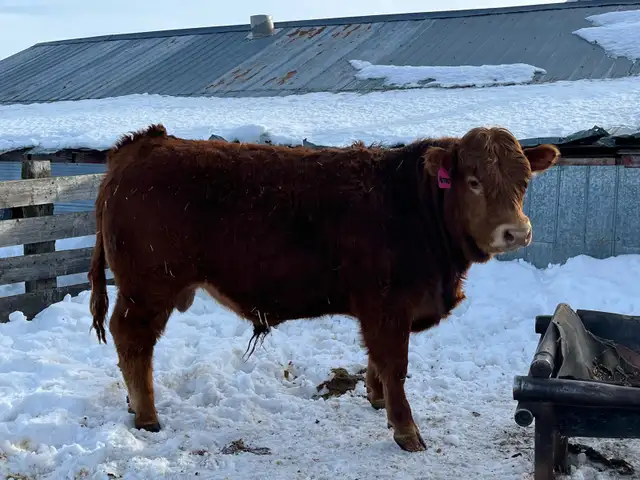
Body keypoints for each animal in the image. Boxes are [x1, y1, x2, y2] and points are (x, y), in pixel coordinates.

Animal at [88, 124, 559, 452]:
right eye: (474, 181)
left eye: (524, 181)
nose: (517, 232)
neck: (415, 206)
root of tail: (143, 144)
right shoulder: (388, 305)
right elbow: (395, 364)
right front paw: (406, 431)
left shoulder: (380, 310)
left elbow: (376, 361)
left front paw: (376, 400)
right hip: (148, 288)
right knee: (132, 340)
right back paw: (147, 416)